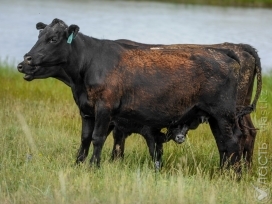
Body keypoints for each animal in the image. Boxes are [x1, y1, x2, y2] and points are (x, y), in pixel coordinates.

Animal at [21, 18, 253, 171]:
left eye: (53, 39)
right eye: (40, 36)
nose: (26, 60)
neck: (89, 66)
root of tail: (226, 52)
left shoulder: (104, 108)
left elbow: (98, 138)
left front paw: (94, 167)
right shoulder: (86, 110)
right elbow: (85, 138)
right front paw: (78, 164)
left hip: (224, 114)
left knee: (234, 141)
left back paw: (232, 175)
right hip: (214, 116)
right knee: (224, 142)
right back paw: (225, 172)